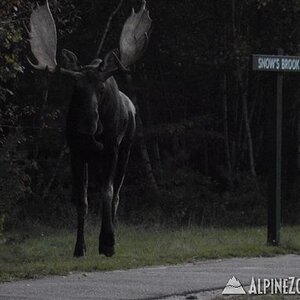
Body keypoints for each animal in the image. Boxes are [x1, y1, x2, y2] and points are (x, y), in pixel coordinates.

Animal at [27, 0, 151, 258]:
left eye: (101, 88)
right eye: (77, 88)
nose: (88, 124)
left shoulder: (111, 149)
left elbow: (107, 191)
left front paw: (107, 242)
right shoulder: (76, 152)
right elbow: (82, 200)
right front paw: (79, 247)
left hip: (126, 148)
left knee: (116, 193)